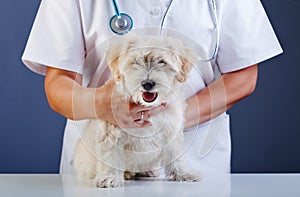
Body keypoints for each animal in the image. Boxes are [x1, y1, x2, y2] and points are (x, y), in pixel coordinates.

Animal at [73, 34, 202, 187]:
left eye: (162, 62)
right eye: (135, 62)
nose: (147, 84)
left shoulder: (171, 130)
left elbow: (175, 154)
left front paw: (183, 173)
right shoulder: (112, 131)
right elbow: (111, 155)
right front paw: (110, 177)